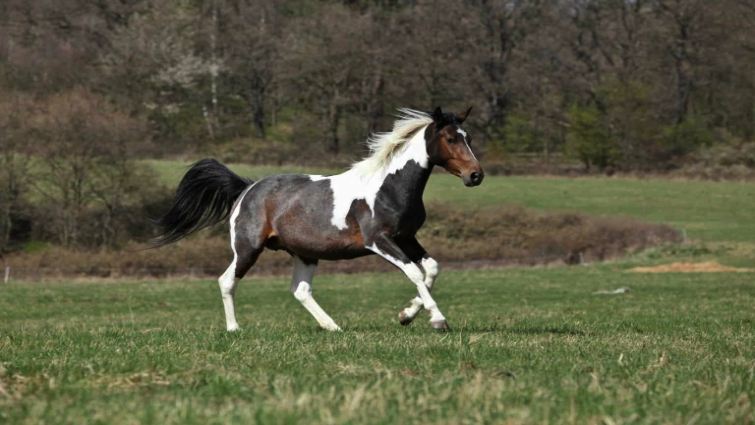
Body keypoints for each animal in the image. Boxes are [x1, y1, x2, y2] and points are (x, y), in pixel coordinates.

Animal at [153, 107, 484, 332]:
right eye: (451, 138)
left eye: (468, 137)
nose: (475, 175)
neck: (389, 186)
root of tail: (247, 187)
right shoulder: (379, 240)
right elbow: (414, 273)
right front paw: (437, 319)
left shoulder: (406, 237)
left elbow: (432, 269)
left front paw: (407, 315)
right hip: (247, 248)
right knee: (226, 281)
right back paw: (234, 328)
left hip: (305, 253)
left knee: (300, 290)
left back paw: (332, 326)